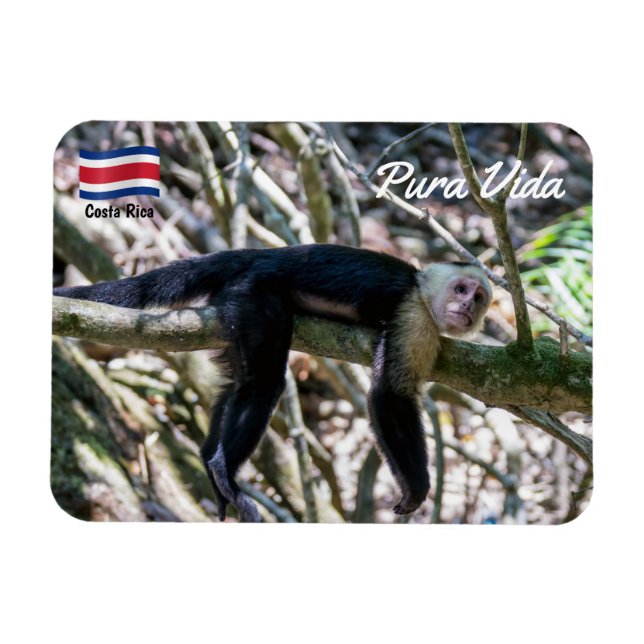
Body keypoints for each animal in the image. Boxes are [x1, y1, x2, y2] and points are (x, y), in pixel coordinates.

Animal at [53, 244, 492, 522]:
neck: (421, 290)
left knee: (238, 385)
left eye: (479, 297)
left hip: (233, 307)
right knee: (264, 382)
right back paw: (225, 470)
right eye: (461, 289)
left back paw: (211, 465)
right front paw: (416, 488)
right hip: (254, 293)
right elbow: (389, 396)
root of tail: (262, 253)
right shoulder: (413, 314)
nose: (468, 307)